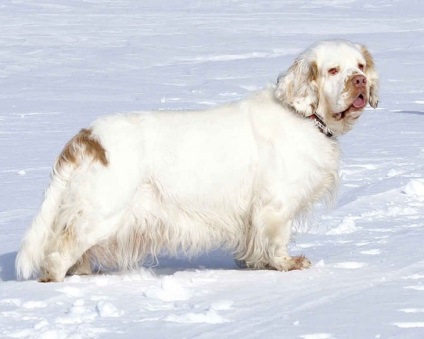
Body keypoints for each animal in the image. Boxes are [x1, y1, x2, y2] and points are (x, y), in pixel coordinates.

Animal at [16, 39, 380, 282]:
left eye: (360, 67)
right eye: (333, 70)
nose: (359, 81)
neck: (304, 116)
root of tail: (87, 137)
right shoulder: (276, 204)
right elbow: (276, 240)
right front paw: (287, 264)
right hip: (102, 213)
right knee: (56, 259)